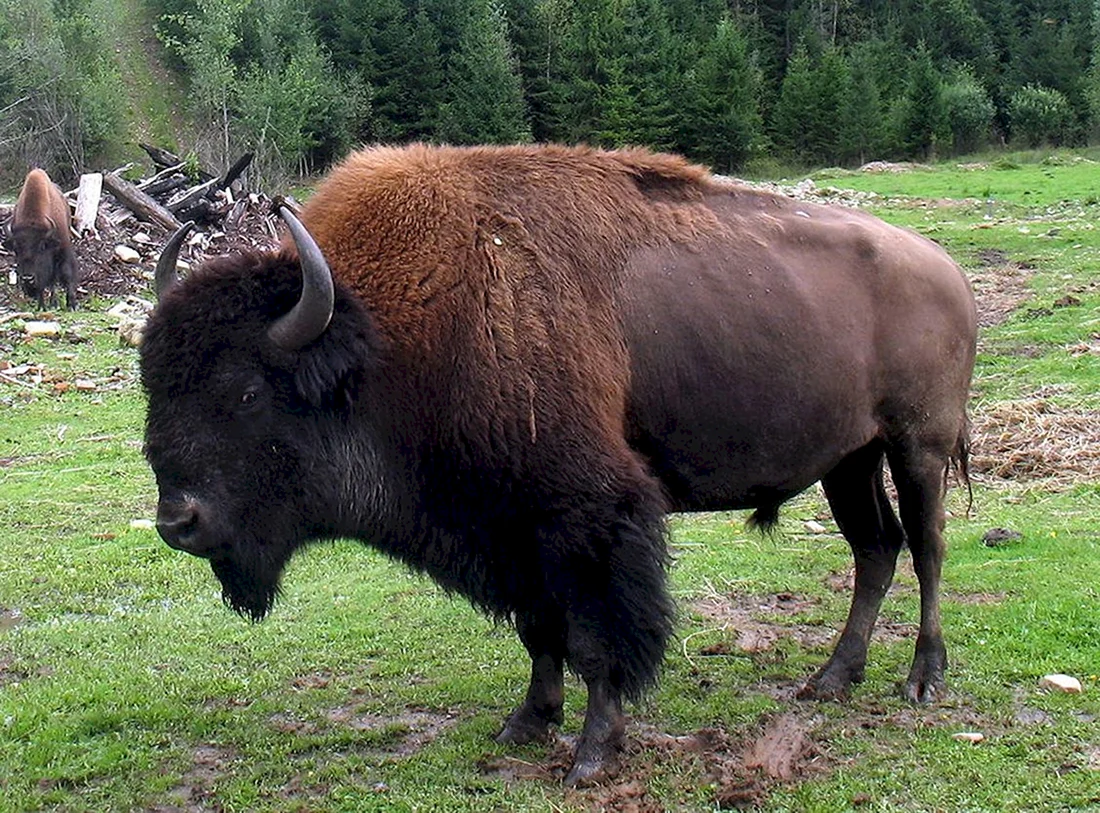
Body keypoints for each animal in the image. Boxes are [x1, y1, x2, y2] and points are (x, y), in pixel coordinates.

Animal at [4, 169, 79, 310]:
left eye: (41, 247)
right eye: (16, 248)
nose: (28, 279)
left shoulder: (64, 247)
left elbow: (67, 273)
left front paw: (72, 304)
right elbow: (44, 285)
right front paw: (41, 306)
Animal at [141, 144, 976, 785]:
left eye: (247, 391)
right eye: (153, 381)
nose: (177, 520)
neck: (385, 337)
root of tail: (946, 266)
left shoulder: (587, 520)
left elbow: (599, 634)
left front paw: (592, 753)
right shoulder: (512, 528)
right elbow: (540, 628)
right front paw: (526, 721)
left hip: (916, 446)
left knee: (927, 548)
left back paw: (922, 678)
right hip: (849, 460)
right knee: (876, 548)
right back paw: (831, 678)